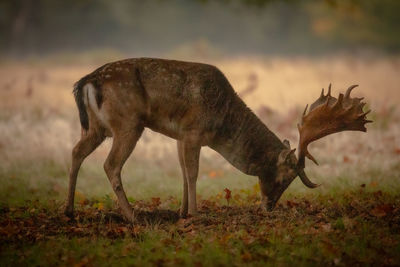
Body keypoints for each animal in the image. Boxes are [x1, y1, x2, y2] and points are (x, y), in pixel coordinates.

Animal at [62, 58, 372, 224]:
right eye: (287, 177)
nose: (269, 207)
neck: (223, 124)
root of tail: (87, 81)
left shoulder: (180, 136)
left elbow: (182, 173)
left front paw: (182, 212)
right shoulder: (194, 131)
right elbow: (193, 173)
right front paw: (195, 214)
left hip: (97, 127)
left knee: (76, 152)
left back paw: (69, 210)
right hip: (128, 123)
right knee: (110, 165)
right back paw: (132, 215)